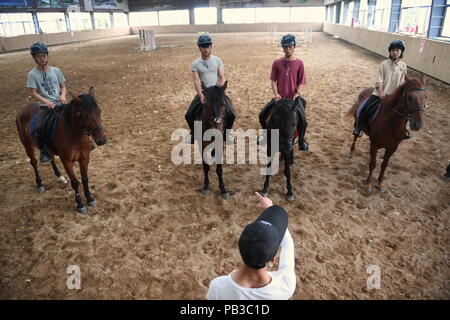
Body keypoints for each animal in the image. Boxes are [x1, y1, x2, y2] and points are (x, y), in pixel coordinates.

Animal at [15, 86, 107, 214]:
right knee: (33, 162)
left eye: (99, 111)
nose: (102, 140)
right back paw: (40, 184)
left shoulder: (84, 158)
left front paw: (90, 199)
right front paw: (80, 205)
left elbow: (85, 179)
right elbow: (75, 182)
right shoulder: (66, 160)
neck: (75, 135)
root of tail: (22, 110)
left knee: (51, 158)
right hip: (27, 145)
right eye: (85, 115)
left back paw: (59, 176)